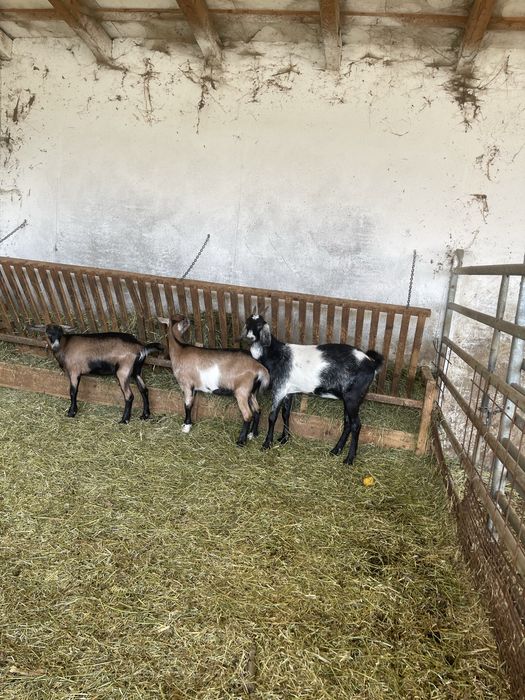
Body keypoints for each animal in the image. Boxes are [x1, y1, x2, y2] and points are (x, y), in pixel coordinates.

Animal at [158, 315, 270, 446]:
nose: (187, 320)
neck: (180, 349)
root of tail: (259, 367)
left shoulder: (187, 385)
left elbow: (187, 405)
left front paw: (186, 427)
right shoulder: (194, 387)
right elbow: (192, 403)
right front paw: (188, 424)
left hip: (242, 391)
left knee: (248, 415)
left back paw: (241, 441)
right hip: (251, 392)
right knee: (258, 411)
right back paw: (253, 434)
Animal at [241, 313, 383, 465]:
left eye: (259, 325)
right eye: (248, 323)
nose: (249, 337)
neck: (275, 354)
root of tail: (372, 363)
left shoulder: (279, 389)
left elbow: (272, 417)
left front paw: (267, 444)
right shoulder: (288, 390)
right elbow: (286, 414)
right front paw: (284, 438)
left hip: (353, 397)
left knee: (356, 424)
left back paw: (349, 459)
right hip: (348, 398)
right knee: (348, 423)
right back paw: (336, 450)